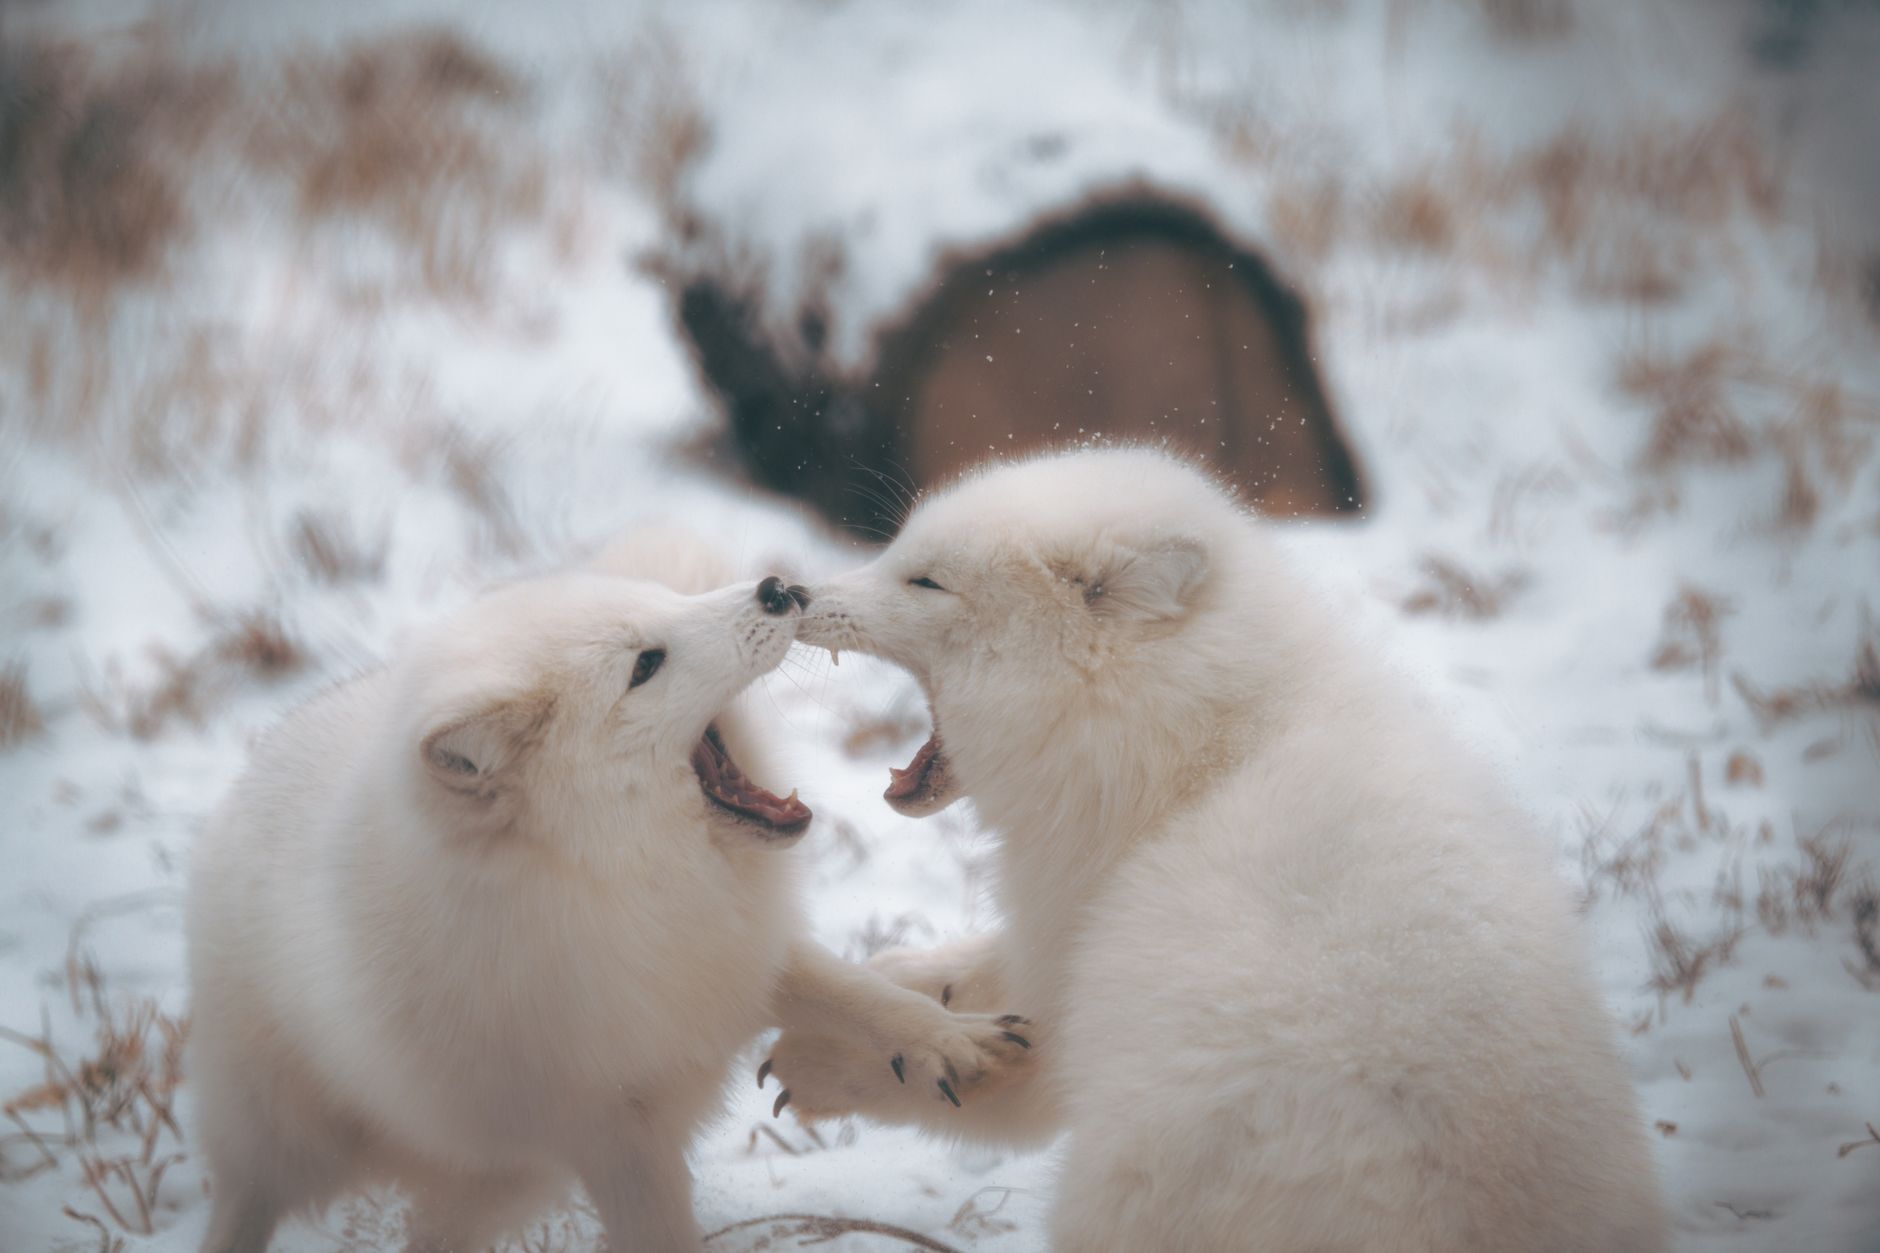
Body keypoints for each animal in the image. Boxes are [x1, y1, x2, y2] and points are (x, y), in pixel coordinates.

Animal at [185, 531, 1031, 1253]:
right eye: (646, 664)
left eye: (670, 603)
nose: (777, 588)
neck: (619, 880)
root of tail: (247, 780)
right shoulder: (613, 1127)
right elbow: (662, 1234)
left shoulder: (736, 955)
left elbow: (860, 992)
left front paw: (950, 1039)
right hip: (279, 1143)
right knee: (241, 1208)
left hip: (493, 1186)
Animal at [764, 448, 1669, 1252]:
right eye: (896, 553)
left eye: (925, 580)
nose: (796, 591)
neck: (1202, 756)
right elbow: (963, 974)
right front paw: (886, 985)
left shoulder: (1073, 969)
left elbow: (1001, 1078)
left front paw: (837, 1058)